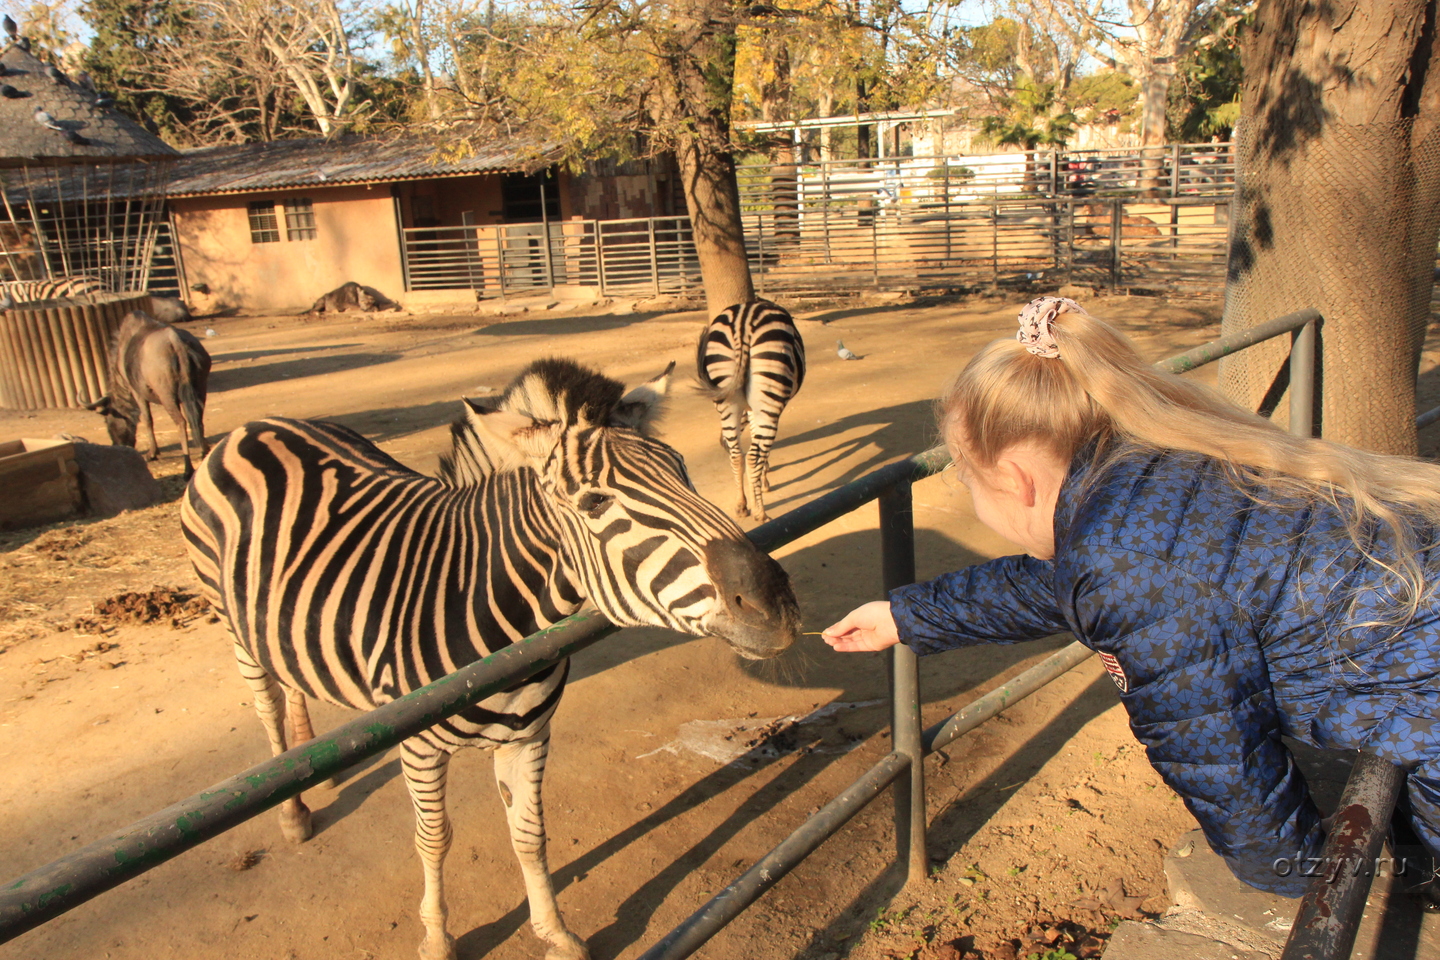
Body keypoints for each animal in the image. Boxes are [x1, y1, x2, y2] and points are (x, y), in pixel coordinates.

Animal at [180, 358, 800, 960]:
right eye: (595, 502)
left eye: (683, 471)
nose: (777, 605)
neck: (501, 631)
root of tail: (256, 423)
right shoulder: (419, 747)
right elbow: (433, 840)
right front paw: (437, 940)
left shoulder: (529, 735)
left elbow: (529, 835)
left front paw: (555, 934)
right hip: (232, 625)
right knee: (266, 705)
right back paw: (292, 810)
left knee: (293, 679)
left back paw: (311, 760)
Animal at [699, 300, 812, 526]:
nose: (720, 442)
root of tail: (743, 320)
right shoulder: (758, 410)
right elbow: (761, 452)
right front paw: (764, 481)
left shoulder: (750, 410)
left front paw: (758, 485)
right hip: (770, 401)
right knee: (752, 456)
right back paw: (760, 513)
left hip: (727, 399)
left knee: (737, 455)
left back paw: (741, 506)